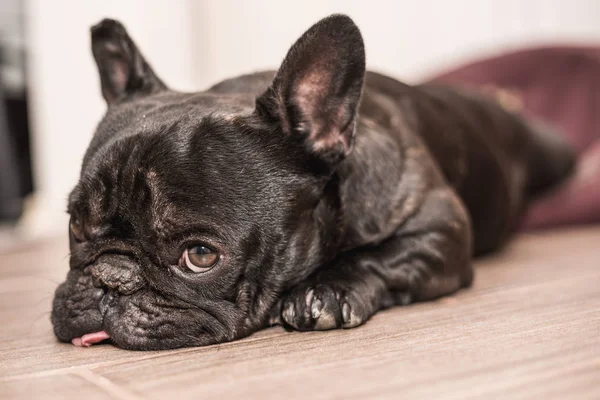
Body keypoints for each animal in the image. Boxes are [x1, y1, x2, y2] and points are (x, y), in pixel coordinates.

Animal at [50, 14, 572, 348]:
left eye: (199, 255)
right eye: (75, 227)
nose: (110, 279)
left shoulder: (440, 226)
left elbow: (383, 255)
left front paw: (327, 290)